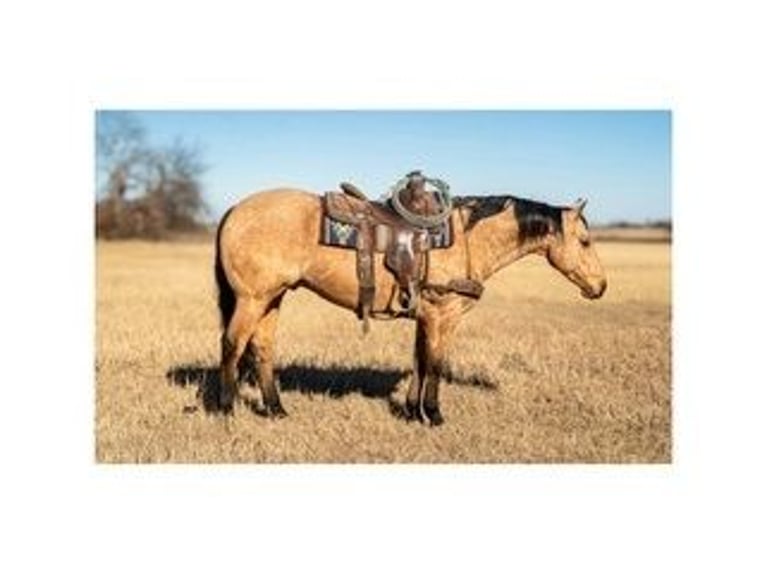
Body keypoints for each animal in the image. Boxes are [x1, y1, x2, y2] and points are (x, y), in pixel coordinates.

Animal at [213, 188, 607, 425]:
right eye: (585, 241)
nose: (600, 287)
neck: (465, 239)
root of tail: (235, 209)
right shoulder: (442, 314)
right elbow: (435, 363)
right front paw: (433, 414)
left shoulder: (425, 316)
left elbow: (419, 361)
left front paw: (412, 411)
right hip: (252, 299)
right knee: (232, 345)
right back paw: (225, 407)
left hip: (272, 298)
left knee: (261, 348)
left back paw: (276, 409)